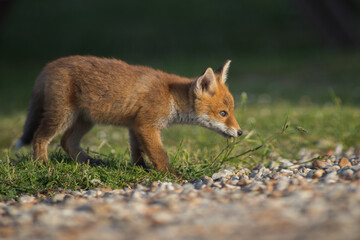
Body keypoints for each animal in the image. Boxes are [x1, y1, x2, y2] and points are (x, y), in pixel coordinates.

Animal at [15, 56, 243, 176]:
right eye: (223, 113)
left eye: (231, 112)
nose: (240, 132)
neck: (170, 95)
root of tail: (49, 65)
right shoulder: (147, 125)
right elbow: (159, 154)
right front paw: (170, 174)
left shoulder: (135, 126)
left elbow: (137, 152)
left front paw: (140, 169)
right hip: (62, 116)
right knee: (39, 137)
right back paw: (42, 164)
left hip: (84, 121)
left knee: (67, 142)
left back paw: (90, 162)